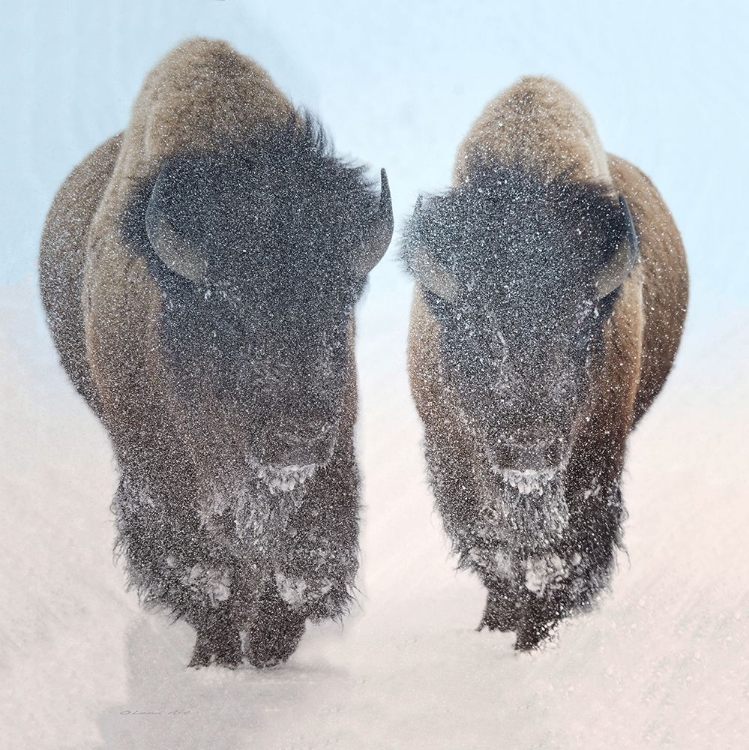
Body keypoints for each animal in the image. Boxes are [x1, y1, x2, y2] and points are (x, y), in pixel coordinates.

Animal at [38, 38, 394, 668]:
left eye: (339, 304)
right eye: (230, 314)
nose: (296, 436)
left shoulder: (330, 460)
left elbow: (305, 555)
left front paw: (273, 643)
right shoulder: (161, 473)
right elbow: (203, 567)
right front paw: (221, 652)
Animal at [400, 78, 688, 652]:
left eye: (581, 329)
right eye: (477, 329)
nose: (528, 451)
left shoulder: (596, 453)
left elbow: (564, 553)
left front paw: (536, 636)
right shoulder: (451, 452)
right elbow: (492, 545)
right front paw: (499, 622)